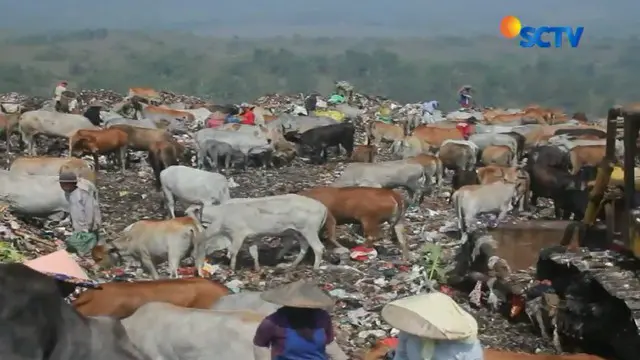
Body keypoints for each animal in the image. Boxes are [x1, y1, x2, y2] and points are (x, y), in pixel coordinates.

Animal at [191, 194, 328, 272]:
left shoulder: (238, 234)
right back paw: (291, 265)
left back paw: (315, 268)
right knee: (304, 246)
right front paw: (257, 268)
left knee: (318, 248)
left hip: (309, 231)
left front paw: (232, 268)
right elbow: (254, 253)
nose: (193, 260)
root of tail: (323, 207)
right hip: (298, 232)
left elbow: (233, 251)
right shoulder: (252, 238)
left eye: (197, 246)